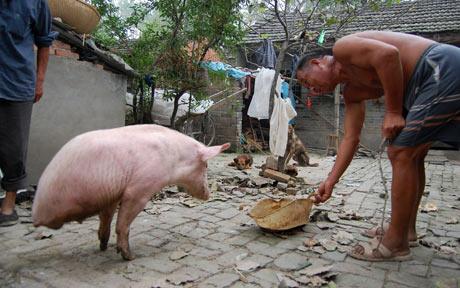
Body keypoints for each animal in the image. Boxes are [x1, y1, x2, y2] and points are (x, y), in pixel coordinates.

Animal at [32, 125, 230, 260]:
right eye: (206, 165)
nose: (208, 195)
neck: (174, 161)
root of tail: (35, 213)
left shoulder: (112, 196)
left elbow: (107, 220)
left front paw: (104, 246)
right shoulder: (139, 189)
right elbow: (123, 224)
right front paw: (129, 257)